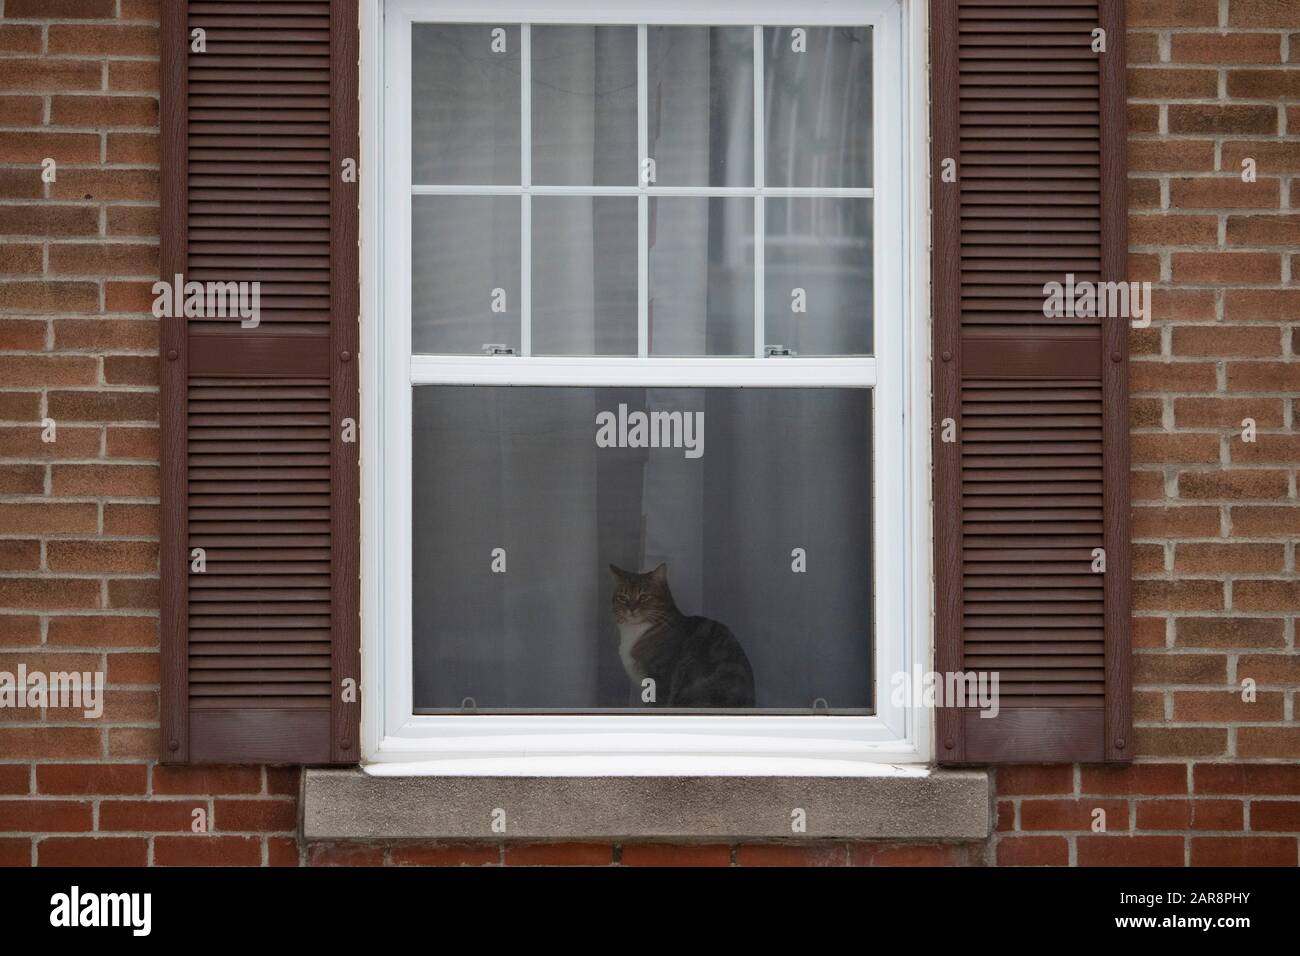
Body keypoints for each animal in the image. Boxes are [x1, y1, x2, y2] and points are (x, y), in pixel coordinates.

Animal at [611, 561, 759, 712]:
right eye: (623, 597)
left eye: (643, 596)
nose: (631, 608)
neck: (635, 631)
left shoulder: (658, 680)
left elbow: (655, 703)